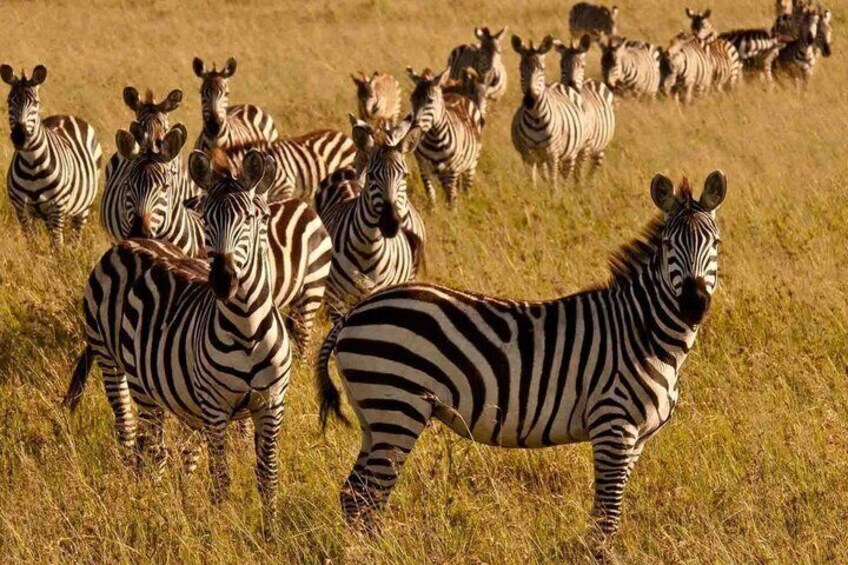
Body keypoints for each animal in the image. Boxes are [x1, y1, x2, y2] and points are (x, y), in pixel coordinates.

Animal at [1, 64, 102, 246]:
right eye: (9, 102)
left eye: (35, 103)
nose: (19, 137)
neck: (32, 165)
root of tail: (66, 116)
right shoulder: (22, 210)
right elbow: (32, 245)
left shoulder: (57, 208)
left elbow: (57, 246)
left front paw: (59, 255)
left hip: (83, 207)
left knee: (76, 236)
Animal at [64, 149, 291, 522]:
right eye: (206, 220)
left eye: (252, 218)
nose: (223, 281)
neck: (247, 332)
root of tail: (134, 239)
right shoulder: (215, 408)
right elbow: (222, 479)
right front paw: (221, 527)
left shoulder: (271, 405)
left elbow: (268, 478)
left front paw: (269, 530)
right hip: (115, 366)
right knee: (137, 439)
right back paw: (143, 502)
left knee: (163, 450)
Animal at [315, 171, 728, 544]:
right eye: (668, 245)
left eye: (716, 243)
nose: (693, 304)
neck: (644, 333)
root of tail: (355, 312)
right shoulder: (613, 427)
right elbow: (606, 519)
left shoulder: (636, 440)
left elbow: (607, 514)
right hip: (398, 407)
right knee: (369, 496)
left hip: (375, 414)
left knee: (353, 494)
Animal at [510, 35, 584, 191]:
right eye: (521, 69)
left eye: (542, 69)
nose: (530, 100)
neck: (536, 117)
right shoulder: (527, 155)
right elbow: (531, 182)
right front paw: (533, 195)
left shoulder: (552, 155)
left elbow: (553, 185)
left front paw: (555, 196)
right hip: (540, 158)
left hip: (570, 152)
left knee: (566, 174)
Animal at [554, 35, 616, 179]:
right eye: (562, 65)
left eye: (582, 65)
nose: (571, 85)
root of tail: (592, 80)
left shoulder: (585, 146)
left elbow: (577, 172)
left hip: (600, 147)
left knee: (591, 172)